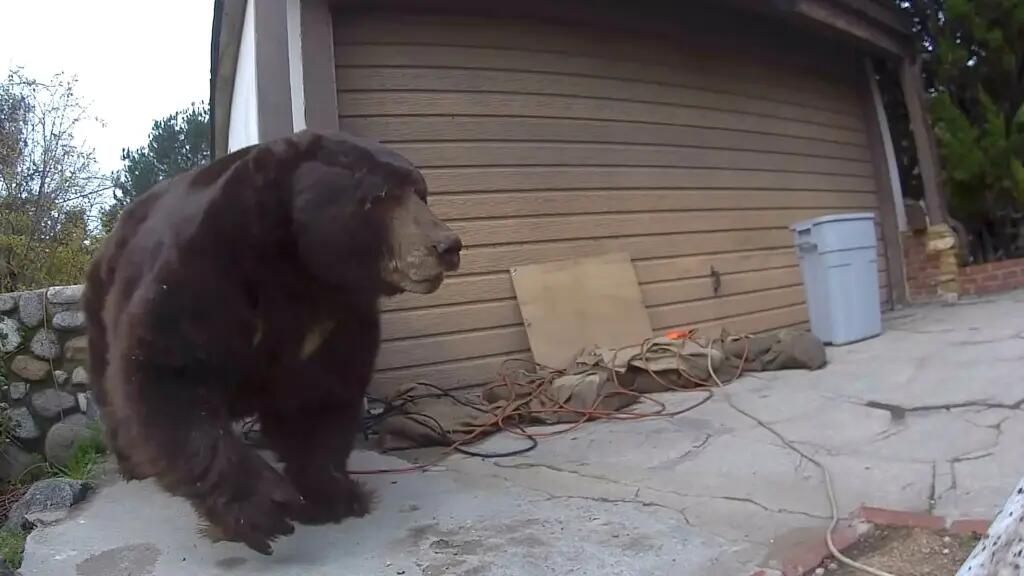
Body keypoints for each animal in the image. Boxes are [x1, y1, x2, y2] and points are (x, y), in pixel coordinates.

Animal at [82, 129, 462, 555]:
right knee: (108, 381)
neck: (297, 269)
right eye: (379, 194)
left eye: (421, 192)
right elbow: (166, 370)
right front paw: (262, 508)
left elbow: (322, 393)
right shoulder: (207, 272)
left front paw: (332, 493)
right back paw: (132, 463)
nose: (447, 245)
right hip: (103, 298)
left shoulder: (338, 314)